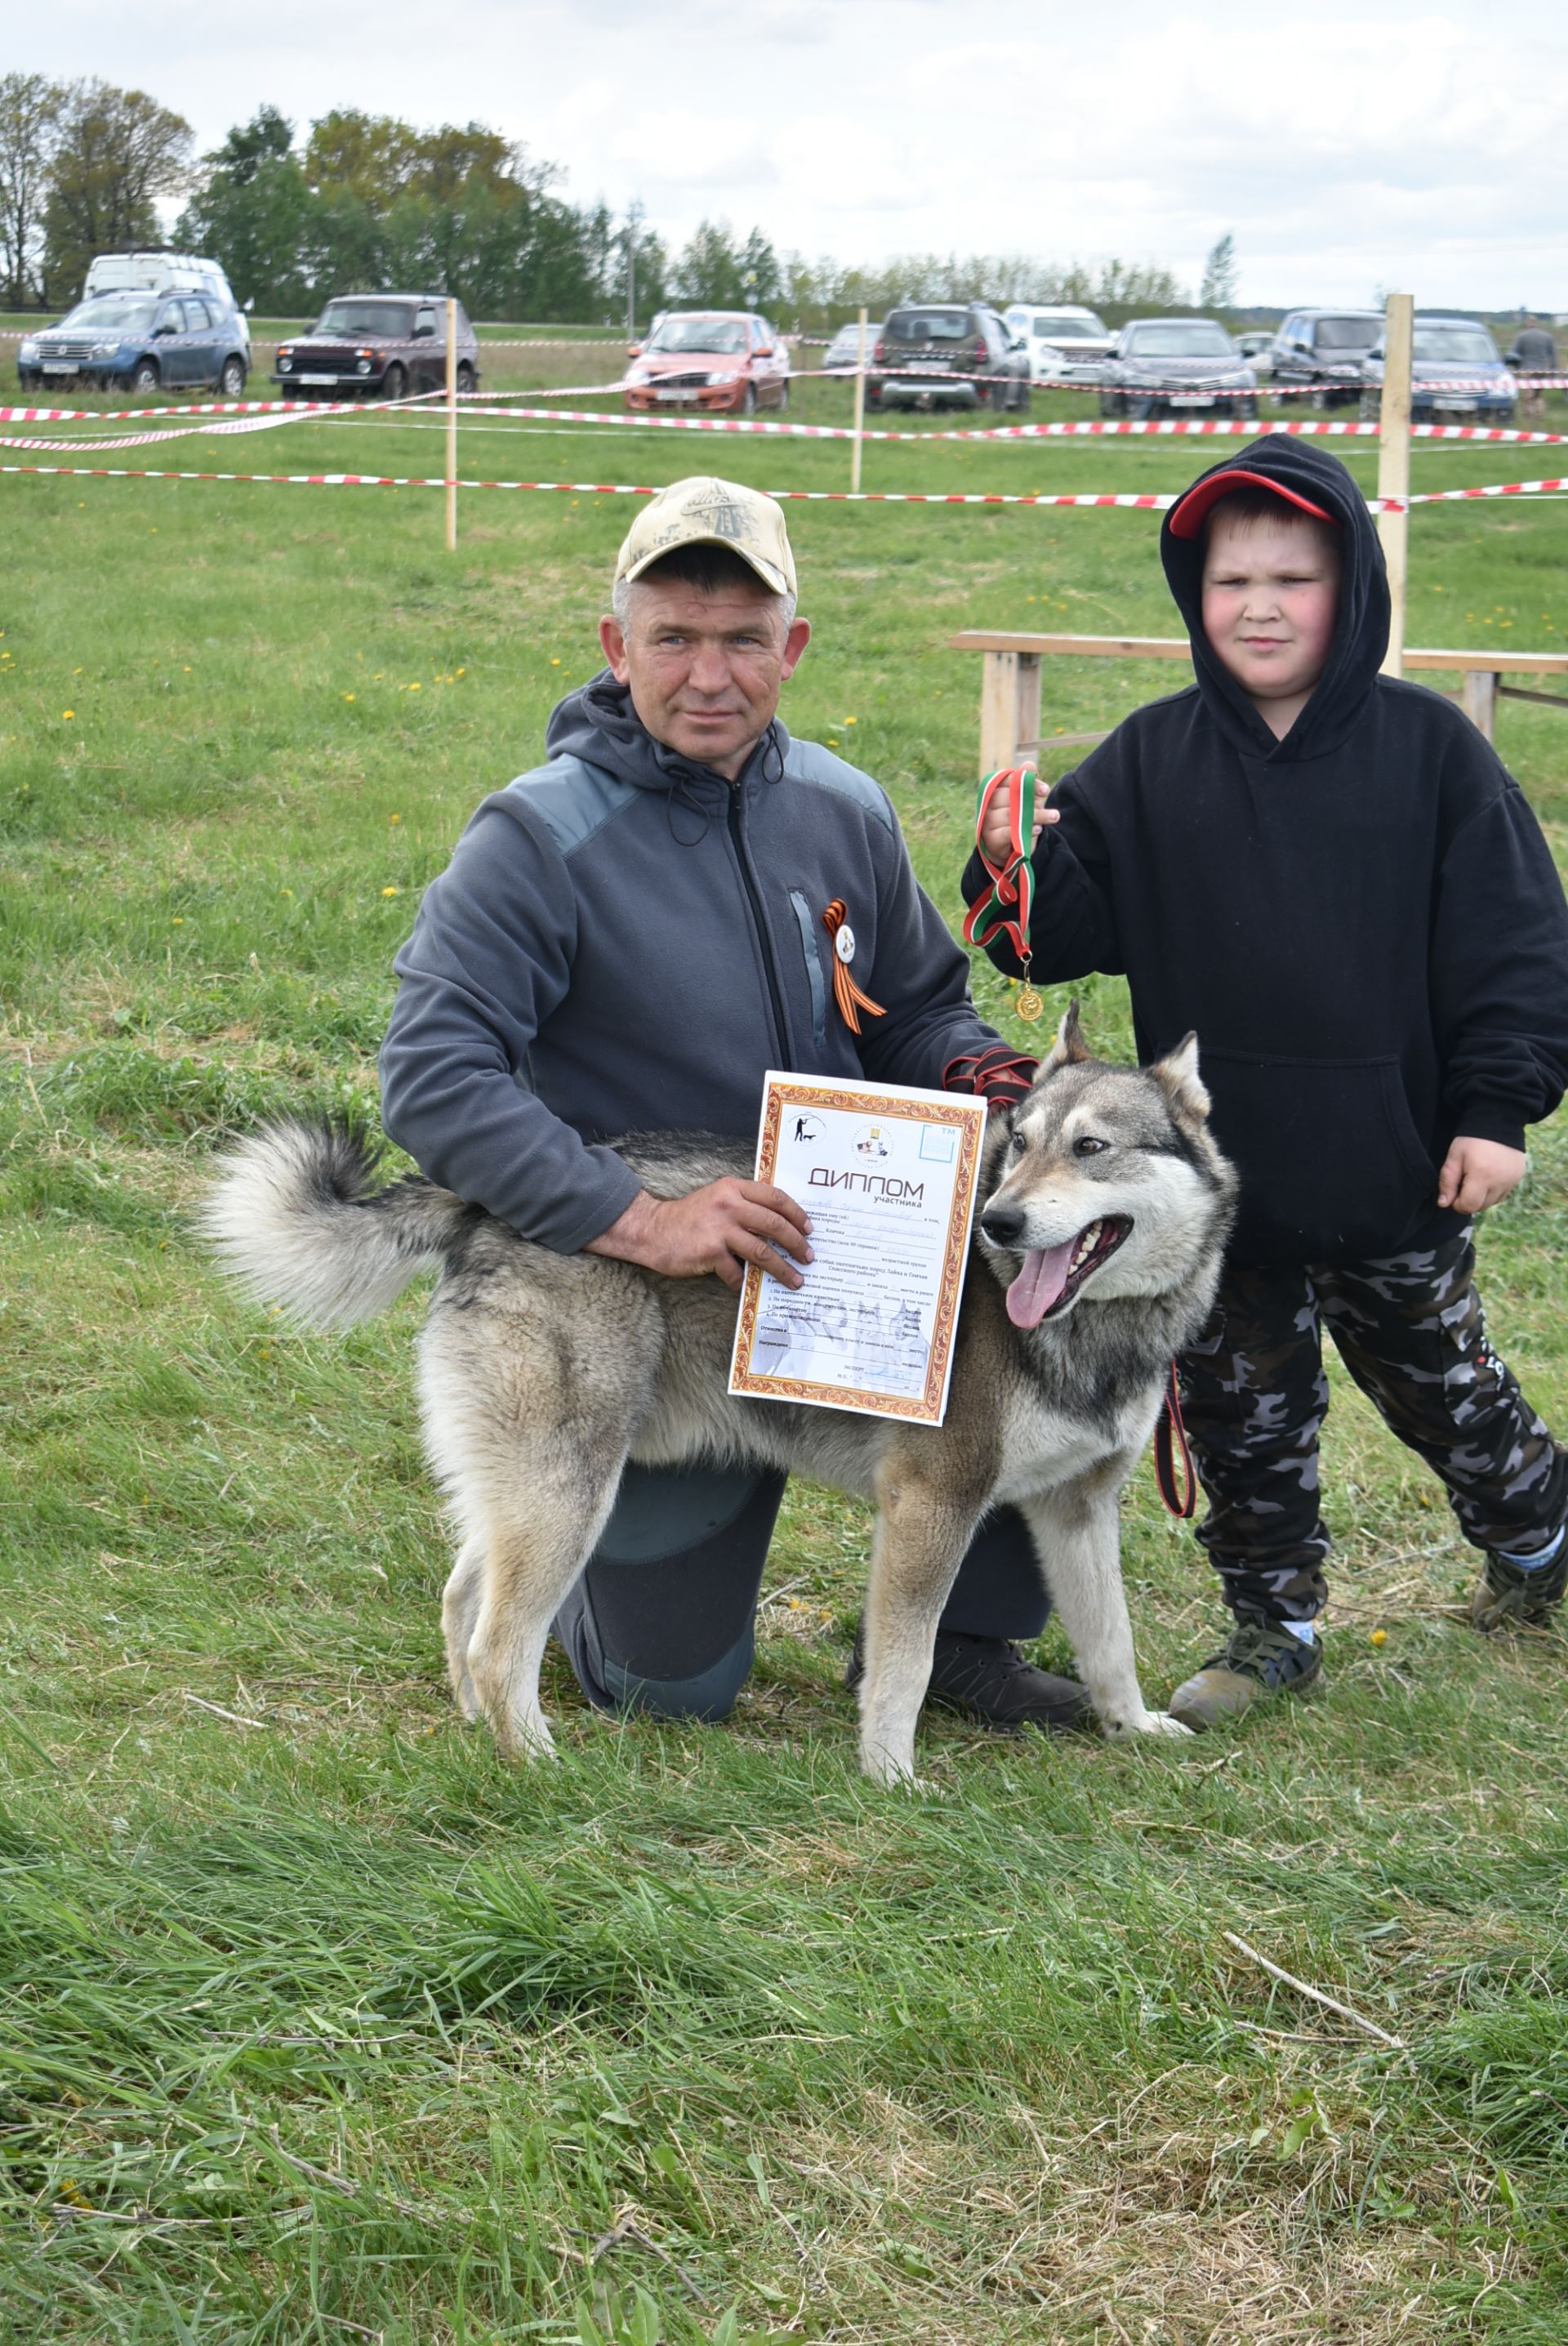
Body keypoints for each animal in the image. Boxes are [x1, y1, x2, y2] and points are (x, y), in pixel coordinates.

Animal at [201, 999, 1237, 1782]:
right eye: (1017, 1144)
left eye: (1091, 1147)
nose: (998, 1222)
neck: (1092, 1328)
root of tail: (483, 1204)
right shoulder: (931, 1503)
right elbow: (903, 1666)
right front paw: (890, 1776)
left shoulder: (1076, 1509)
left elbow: (1110, 1642)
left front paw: (1133, 1729)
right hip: (570, 1495)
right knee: (502, 1642)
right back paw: (537, 1764)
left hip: (529, 1489)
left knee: (465, 1601)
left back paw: (477, 1736)